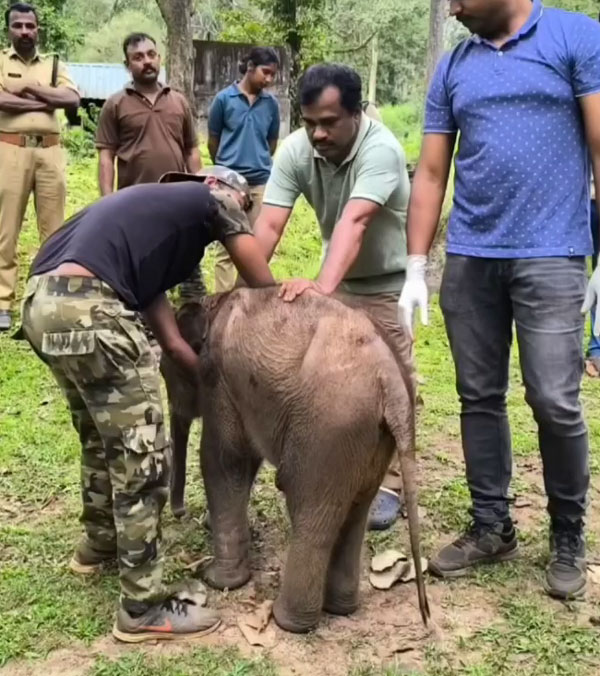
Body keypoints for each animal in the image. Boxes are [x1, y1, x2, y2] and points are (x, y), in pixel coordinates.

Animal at [161, 287, 429, 633]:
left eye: (165, 373)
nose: (179, 513)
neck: (214, 304)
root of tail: (391, 380)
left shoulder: (219, 381)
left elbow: (224, 462)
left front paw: (216, 580)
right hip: (372, 437)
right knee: (356, 510)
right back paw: (340, 608)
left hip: (329, 429)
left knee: (309, 510)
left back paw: (288, 621)